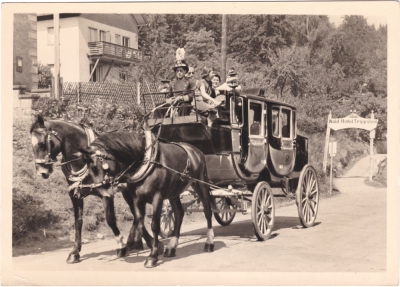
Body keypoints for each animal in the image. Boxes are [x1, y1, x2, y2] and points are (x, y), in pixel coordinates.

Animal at [30, 116, 133, 264]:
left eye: (42, 143)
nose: (41, 172)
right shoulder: (75, 195)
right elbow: (78, 221)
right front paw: (75, 252)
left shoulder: (107, 194)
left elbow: (110, 219)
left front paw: (121, 245)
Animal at [79, 132, 216, 268]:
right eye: (88, 169)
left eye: (96, 167)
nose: (103, 193)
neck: (144, 162)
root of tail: (196, 151)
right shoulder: (137, 199)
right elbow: (139, 222)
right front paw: (141, 246)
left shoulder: (158, 197)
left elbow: (154, 225)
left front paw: (152, 256)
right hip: (173, 193)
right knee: (179, 213)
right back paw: (171, 247)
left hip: (200, 183)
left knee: (207, 211)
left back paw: (209, 243)